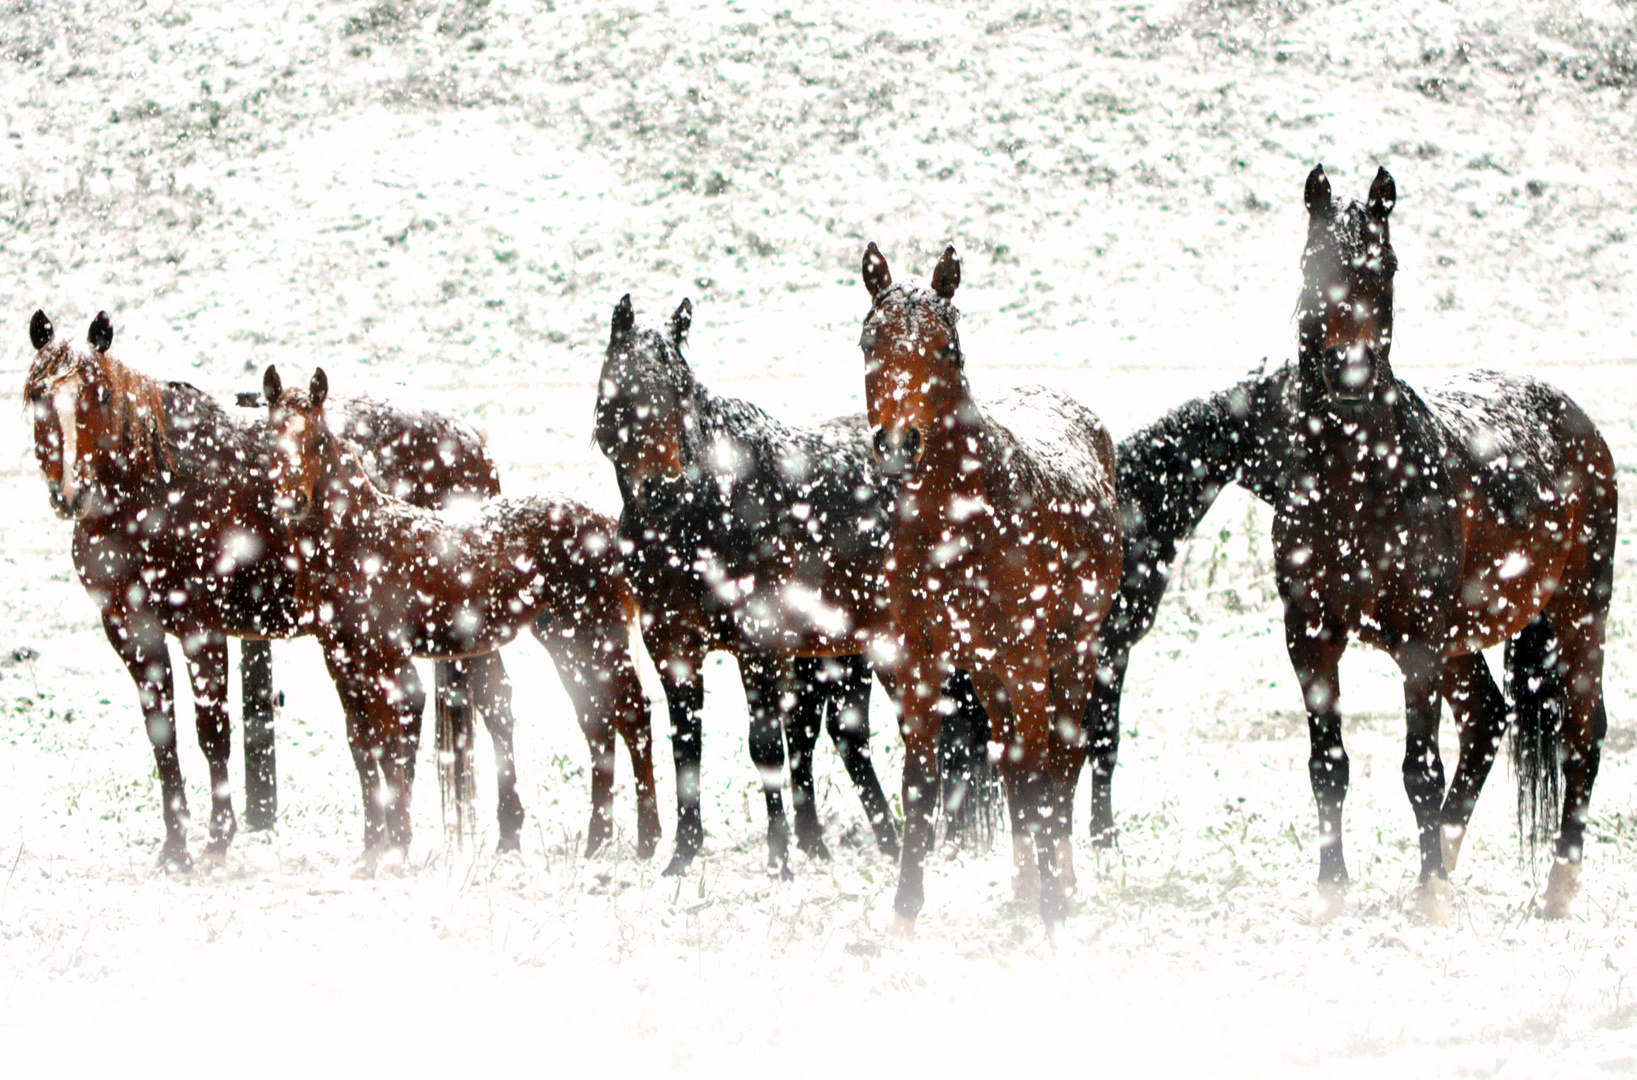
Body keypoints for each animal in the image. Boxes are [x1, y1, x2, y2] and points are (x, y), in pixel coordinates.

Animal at [20, 312, 517, 870]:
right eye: (38, 393)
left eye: (100, 396)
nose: (70, 493)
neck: (156, 486)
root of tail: (470, 439)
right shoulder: (131, 631)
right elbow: (162, 735)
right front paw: (175, 848)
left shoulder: (201, 627)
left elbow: (212, 733)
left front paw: (217, 840)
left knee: (496, 704)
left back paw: (510, 838)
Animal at [261, 366, 658, 864]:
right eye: (269, 436)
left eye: (316, 440)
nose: (291, 502)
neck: (359, 537)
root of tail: (608, 524)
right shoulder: (341, 655)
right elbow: (363, 745)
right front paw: (372, 853)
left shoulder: (386, 656)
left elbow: (392, 739)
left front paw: (398, 849)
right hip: (565, 639)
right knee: (598, 722)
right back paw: (595, 841)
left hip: (597, 633)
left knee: (633, 714)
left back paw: (647, 839)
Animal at [595, 292, 988, 877]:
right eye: (622, 390)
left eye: (680, 391)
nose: (662, 487)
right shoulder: (673, 647)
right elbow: (687, 744)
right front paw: (684, 855)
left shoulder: (759, 644)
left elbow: (764, 748)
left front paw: (779, 860)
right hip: (841, 650)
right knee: (845, 735)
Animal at [857, 242, 1126, 929]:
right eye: (870, 342)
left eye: (945, 349)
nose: (898, 445)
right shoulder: (920, 663)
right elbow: (920, 783)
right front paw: (904, 910)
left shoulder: (1027, 659)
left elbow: (1042, 777)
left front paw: (1055, 905)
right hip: (988, 670)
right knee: (1012, 764)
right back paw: (1024, 884)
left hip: (1069, 652)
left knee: (1059, 763)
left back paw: (1061, 884)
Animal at [1263, 166, 1610, 922]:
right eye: (1311, 265)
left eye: (1387, 266)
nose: (1350, 369)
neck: (1358, 481)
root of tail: (1572, 414)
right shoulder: (1310, 635)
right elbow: (1327, 766)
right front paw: (1333, 893)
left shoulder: (1416, 639)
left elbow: (1418, 768)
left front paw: (1430, 908)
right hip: (1465, 639)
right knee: (1487, 718)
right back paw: (1442, 866)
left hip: (1578, 611)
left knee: (1582, 731)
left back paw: (1554, 888)